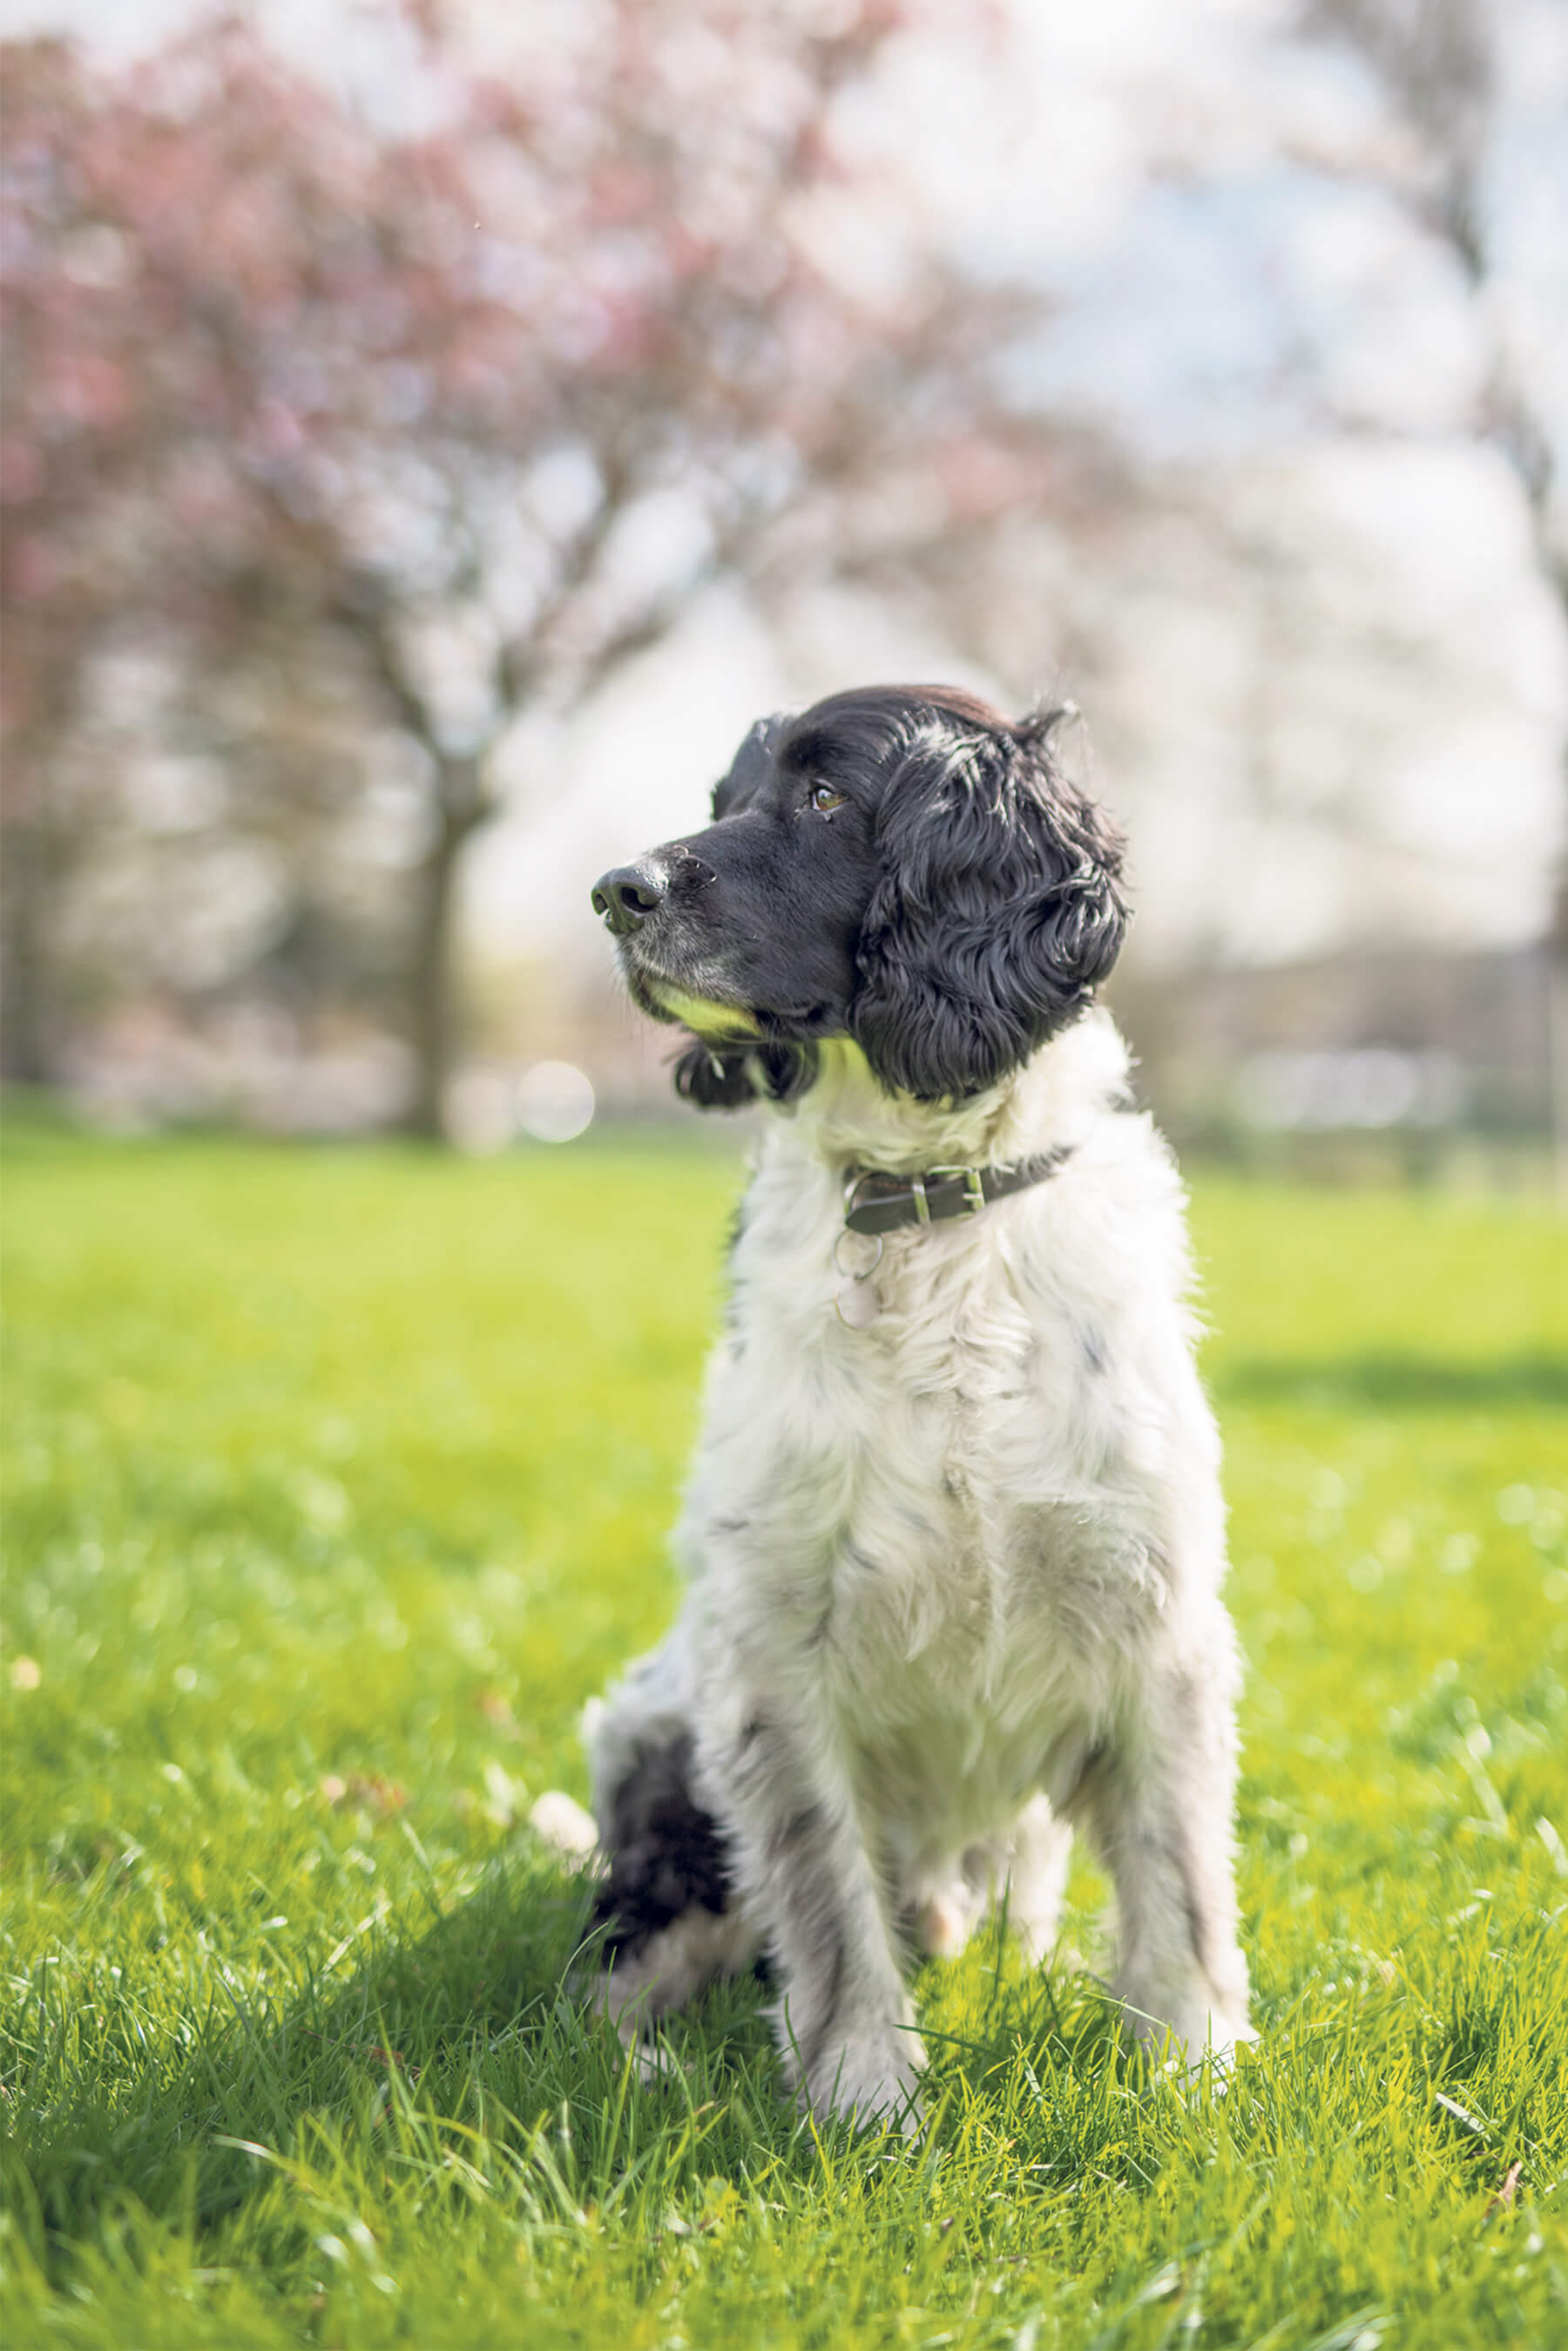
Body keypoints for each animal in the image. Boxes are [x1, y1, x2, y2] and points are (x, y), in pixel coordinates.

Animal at [573, 686, 1250, 2134]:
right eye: (724, 795)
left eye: (826, 796)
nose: (616, 889)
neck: (931, 1212)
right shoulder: (773, 1655)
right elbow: (828, 1908)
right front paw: (863, 2099)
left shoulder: (1155, 1623)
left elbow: (1177, 1890)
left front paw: (1194, 2078)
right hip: (657, 1746)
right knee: (612, 1965)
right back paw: (640, 2070)